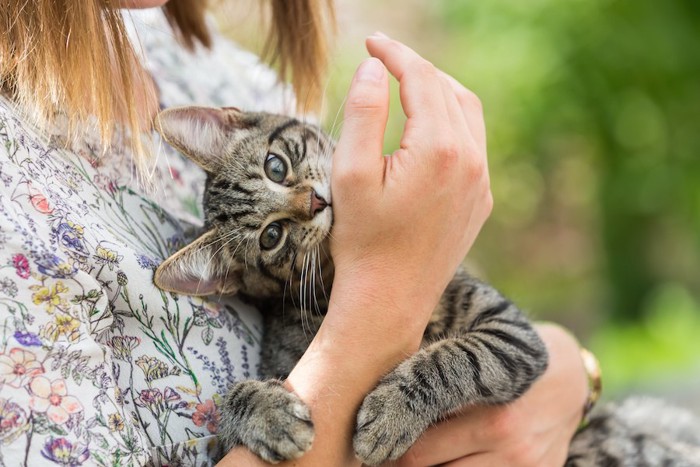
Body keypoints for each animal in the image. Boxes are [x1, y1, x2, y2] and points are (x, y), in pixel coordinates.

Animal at [152, 106, 700, 467]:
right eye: (271, 237)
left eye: (275, 166)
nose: (315, 203)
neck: (331, 280)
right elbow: (227, 415)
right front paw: (265, 413)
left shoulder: (513, 331)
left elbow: (460, 357)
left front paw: (394, 410)